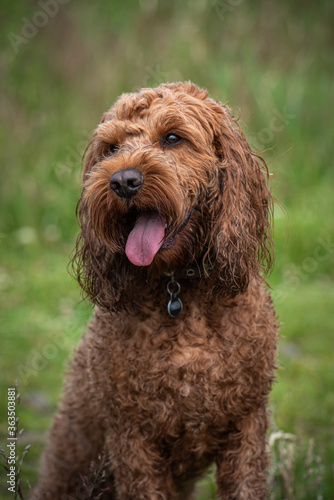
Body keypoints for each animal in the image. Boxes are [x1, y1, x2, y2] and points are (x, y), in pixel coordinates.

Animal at [32, 82, 280, 500]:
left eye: (173, 138)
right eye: (111, 148)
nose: (122, 181)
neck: (178, 289)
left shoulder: (246, 426)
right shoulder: (133, 439)